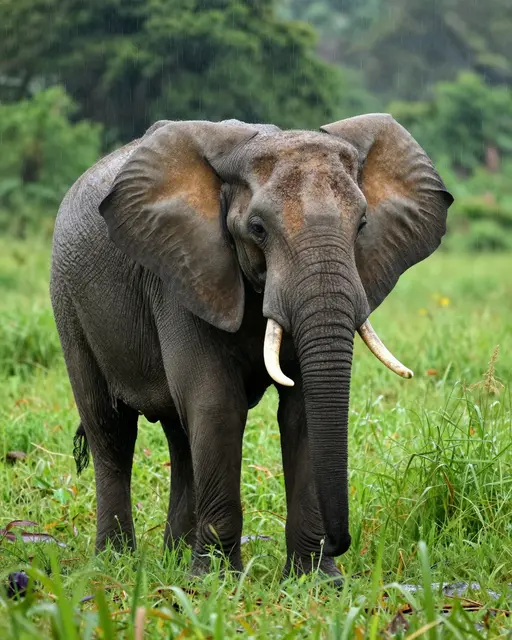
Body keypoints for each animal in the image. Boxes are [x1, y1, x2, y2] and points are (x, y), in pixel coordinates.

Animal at [50, 115, 452, 580]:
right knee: (111, 428)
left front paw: (316, 580)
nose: (340, 541)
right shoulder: (184, 272)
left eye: (362, 225)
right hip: (69, 302)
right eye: (257, 229)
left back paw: (173, 560)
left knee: (180, 436)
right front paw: (214, 583)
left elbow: (300, 410)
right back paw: (114, 565)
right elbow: (217, 404)